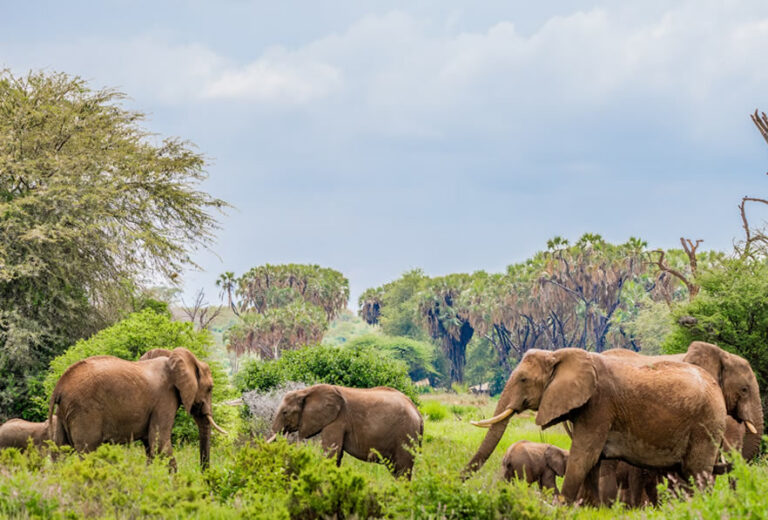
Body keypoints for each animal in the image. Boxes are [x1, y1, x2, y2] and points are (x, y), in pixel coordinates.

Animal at [49, 350, 225, 468]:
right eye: (210, 388)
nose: (204, 476)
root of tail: (59, 386)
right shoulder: (164, 399)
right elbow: (159, 443)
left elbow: (150, 446)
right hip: (84, 411)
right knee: (87, 452)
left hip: (64, 412)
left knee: (59, 452)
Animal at [268, 382, 426, 480]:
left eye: (285, 412)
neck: (306, 391)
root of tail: (418, 413)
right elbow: (337, 456)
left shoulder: (337, 420)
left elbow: (331, 453)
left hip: (405, 434)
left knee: (402, 470)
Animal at [462, 350, 728, 504]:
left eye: (524, 379)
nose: (459, 481)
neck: (559, 355)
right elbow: (592, 461)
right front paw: (591, 508)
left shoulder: (599, 405)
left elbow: (583, 456)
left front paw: (563, 507)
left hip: (706, 423)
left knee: (698, 473)